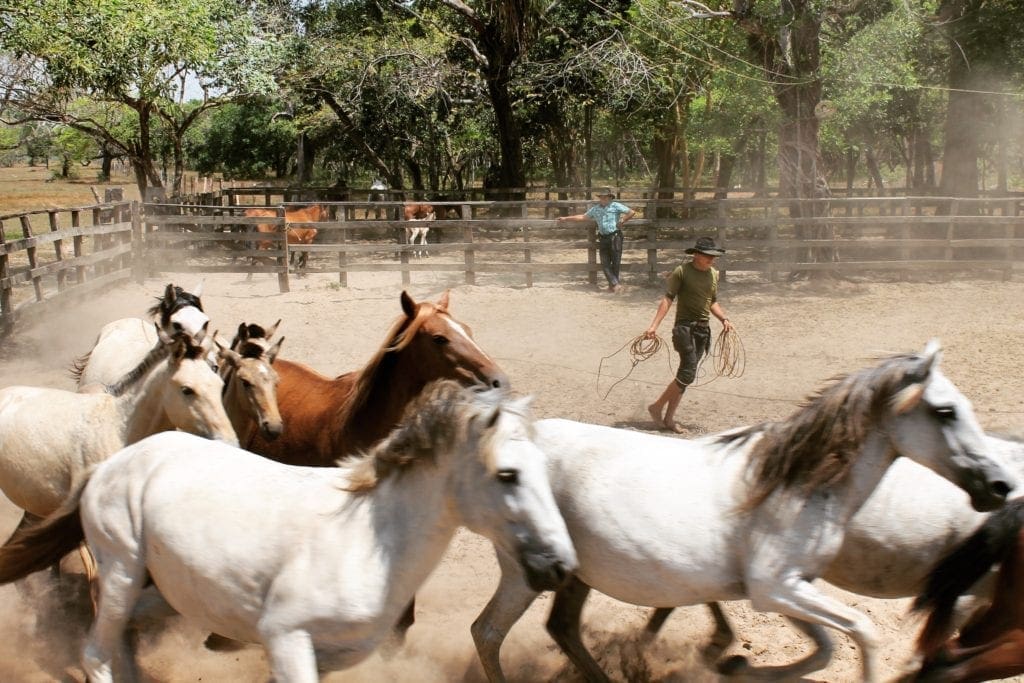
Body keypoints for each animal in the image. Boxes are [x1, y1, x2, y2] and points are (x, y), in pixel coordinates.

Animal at [0, 380, 577, 682]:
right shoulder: (286, 639)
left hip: (169, 591)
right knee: (97, 652)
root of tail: (110, 464)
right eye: (508, 474)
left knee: (124, 639)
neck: (368, 537)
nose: (559, 566)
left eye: (545, 469)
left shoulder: (329, 657)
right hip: (121, 568)